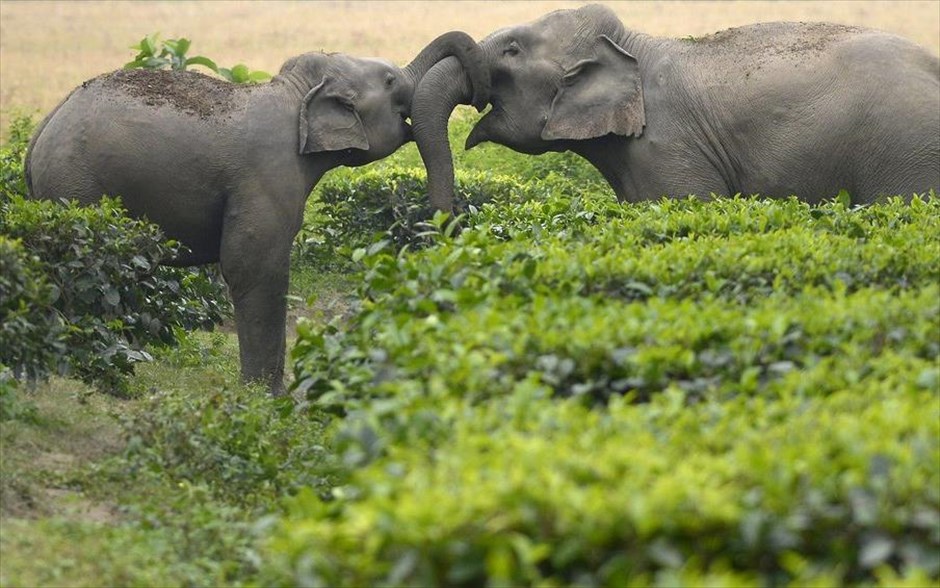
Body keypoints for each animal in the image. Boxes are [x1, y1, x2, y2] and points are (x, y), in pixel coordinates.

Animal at [24, 29, 488, 396]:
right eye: (391, 81)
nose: (481, 96)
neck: (294, 92)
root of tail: (40, 133)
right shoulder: (267, 172)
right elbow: (254, 265)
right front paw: (269, 398)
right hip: (77, 188)